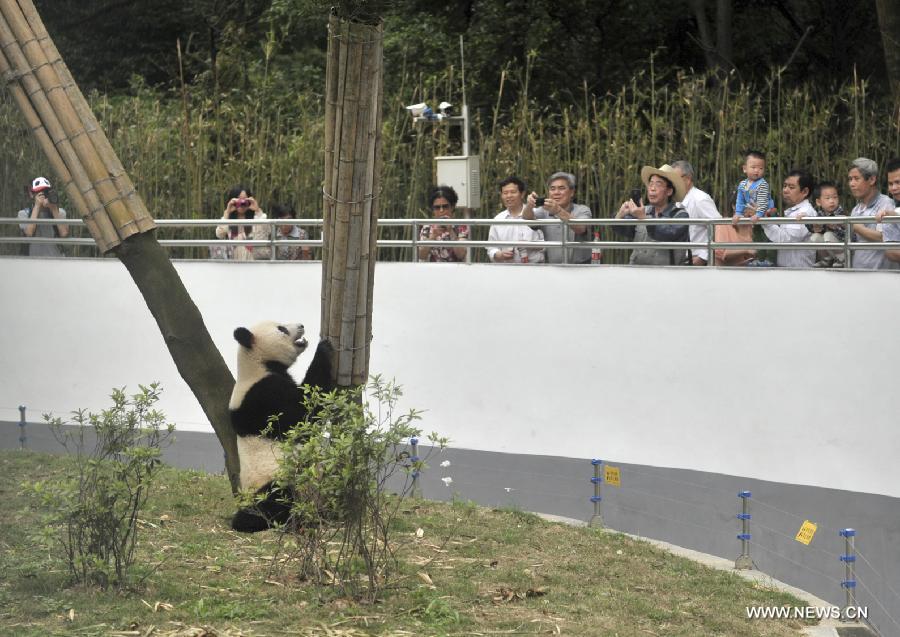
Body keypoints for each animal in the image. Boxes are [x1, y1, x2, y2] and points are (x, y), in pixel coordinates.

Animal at [227, 318, 336, 532]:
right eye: (282, 329)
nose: (301, 325)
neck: (258, 364)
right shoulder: (266, 396)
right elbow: (303, 413)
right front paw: (323, 348)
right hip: (272, 480)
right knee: (275, 500)